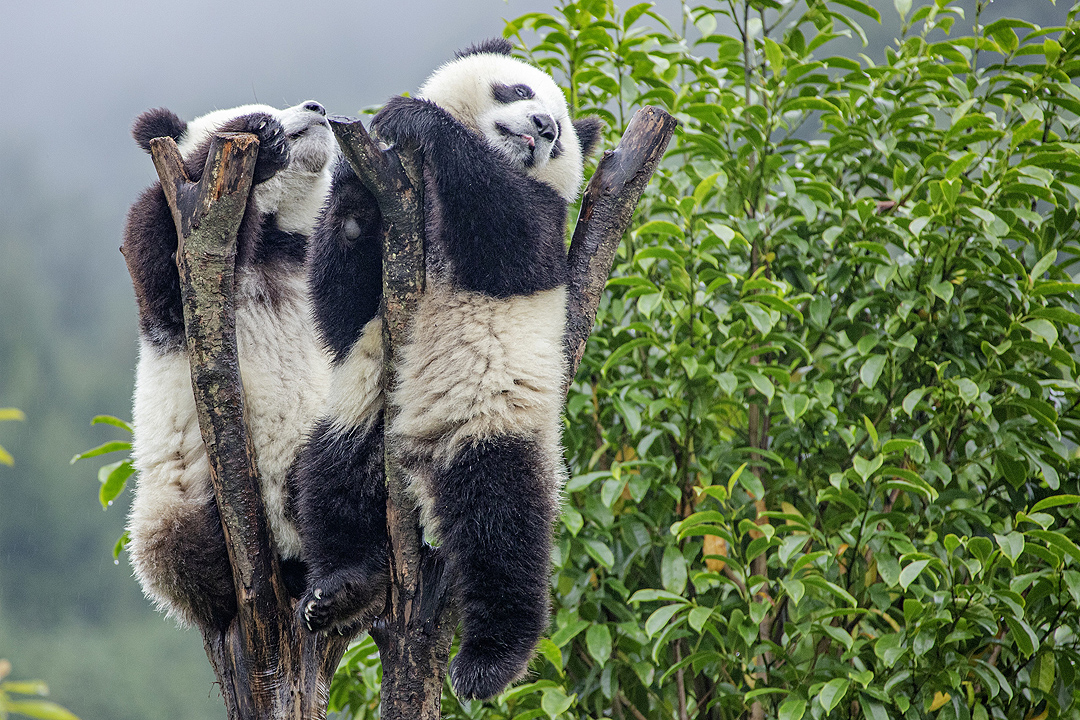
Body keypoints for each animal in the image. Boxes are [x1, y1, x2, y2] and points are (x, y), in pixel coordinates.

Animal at [121, 99, 336, 630]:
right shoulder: (176, 288)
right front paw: (262, 140)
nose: (316, 107)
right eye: (263, 105)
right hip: (176, 493)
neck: (277, 241)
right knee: (177, 552)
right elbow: (158, 249)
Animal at [291, 36, 604, 699]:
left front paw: (414, 119)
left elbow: (511, 234)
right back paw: (344, 585)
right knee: (331, 475)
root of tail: (419, 459)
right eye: (519, 90)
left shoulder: (546, 224)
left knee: (501, 523)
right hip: (364, 411)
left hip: (490, 418)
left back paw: (489, 660)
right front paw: (355, 178)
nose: (544, 127)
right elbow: (339, 302)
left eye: (564, 132)